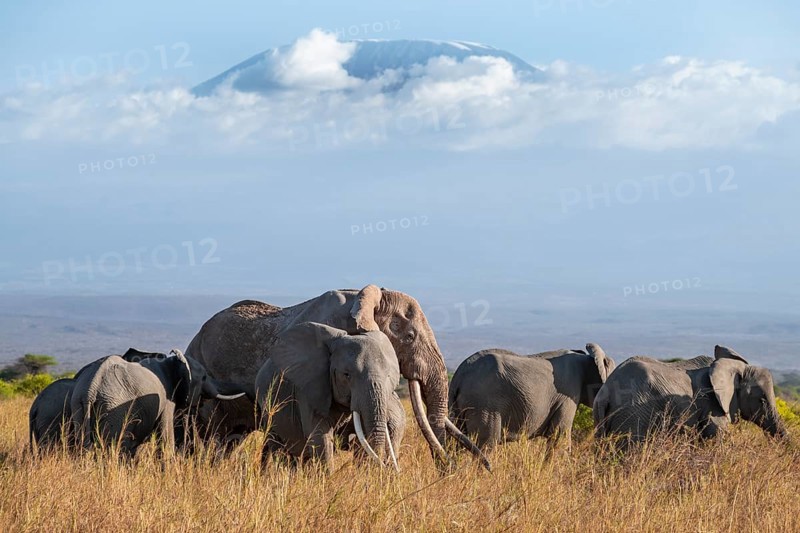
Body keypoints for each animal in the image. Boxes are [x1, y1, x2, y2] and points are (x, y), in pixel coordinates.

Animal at [70, 349, 245, 456]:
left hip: (78, 406)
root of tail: (91, 387)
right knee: (116, 446)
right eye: (203, 377)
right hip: (114, 409)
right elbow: (166, 436)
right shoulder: (167, 399)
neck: (171, 362)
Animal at [256, 322, 406, 470]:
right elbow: (320, 436)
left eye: (388, 376)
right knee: (278, 447)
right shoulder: (310, 388)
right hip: (267, 407)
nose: (386, 466)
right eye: (346, 375)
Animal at [449, 343, 615, 451]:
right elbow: (559, 437)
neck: (586, 358)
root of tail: (459, 375)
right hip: (484, 404)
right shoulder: (568, 394)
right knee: (487, 443)